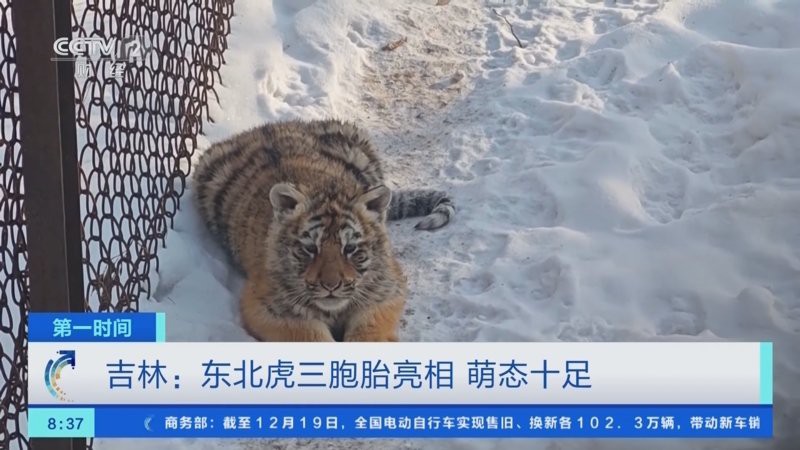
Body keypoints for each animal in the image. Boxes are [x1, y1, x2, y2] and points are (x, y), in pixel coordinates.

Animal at [192, 119, 454, 342]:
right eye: (310, 248)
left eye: (350, 248)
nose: (331, 287)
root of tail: (269, 126)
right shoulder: (267, 305)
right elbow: (310, 335)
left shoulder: (385, 290)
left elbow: (367, 332)